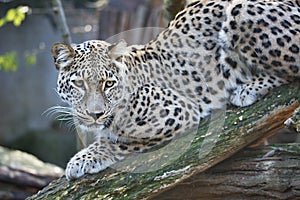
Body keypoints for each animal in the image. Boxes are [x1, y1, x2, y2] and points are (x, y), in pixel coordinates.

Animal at [51, 0, 300, 180]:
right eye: (79, 83)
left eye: (108, 84)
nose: (96, 114)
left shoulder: (177, 111)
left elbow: (122, 139)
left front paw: (82, 159)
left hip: (241, 11)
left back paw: (246, 89)